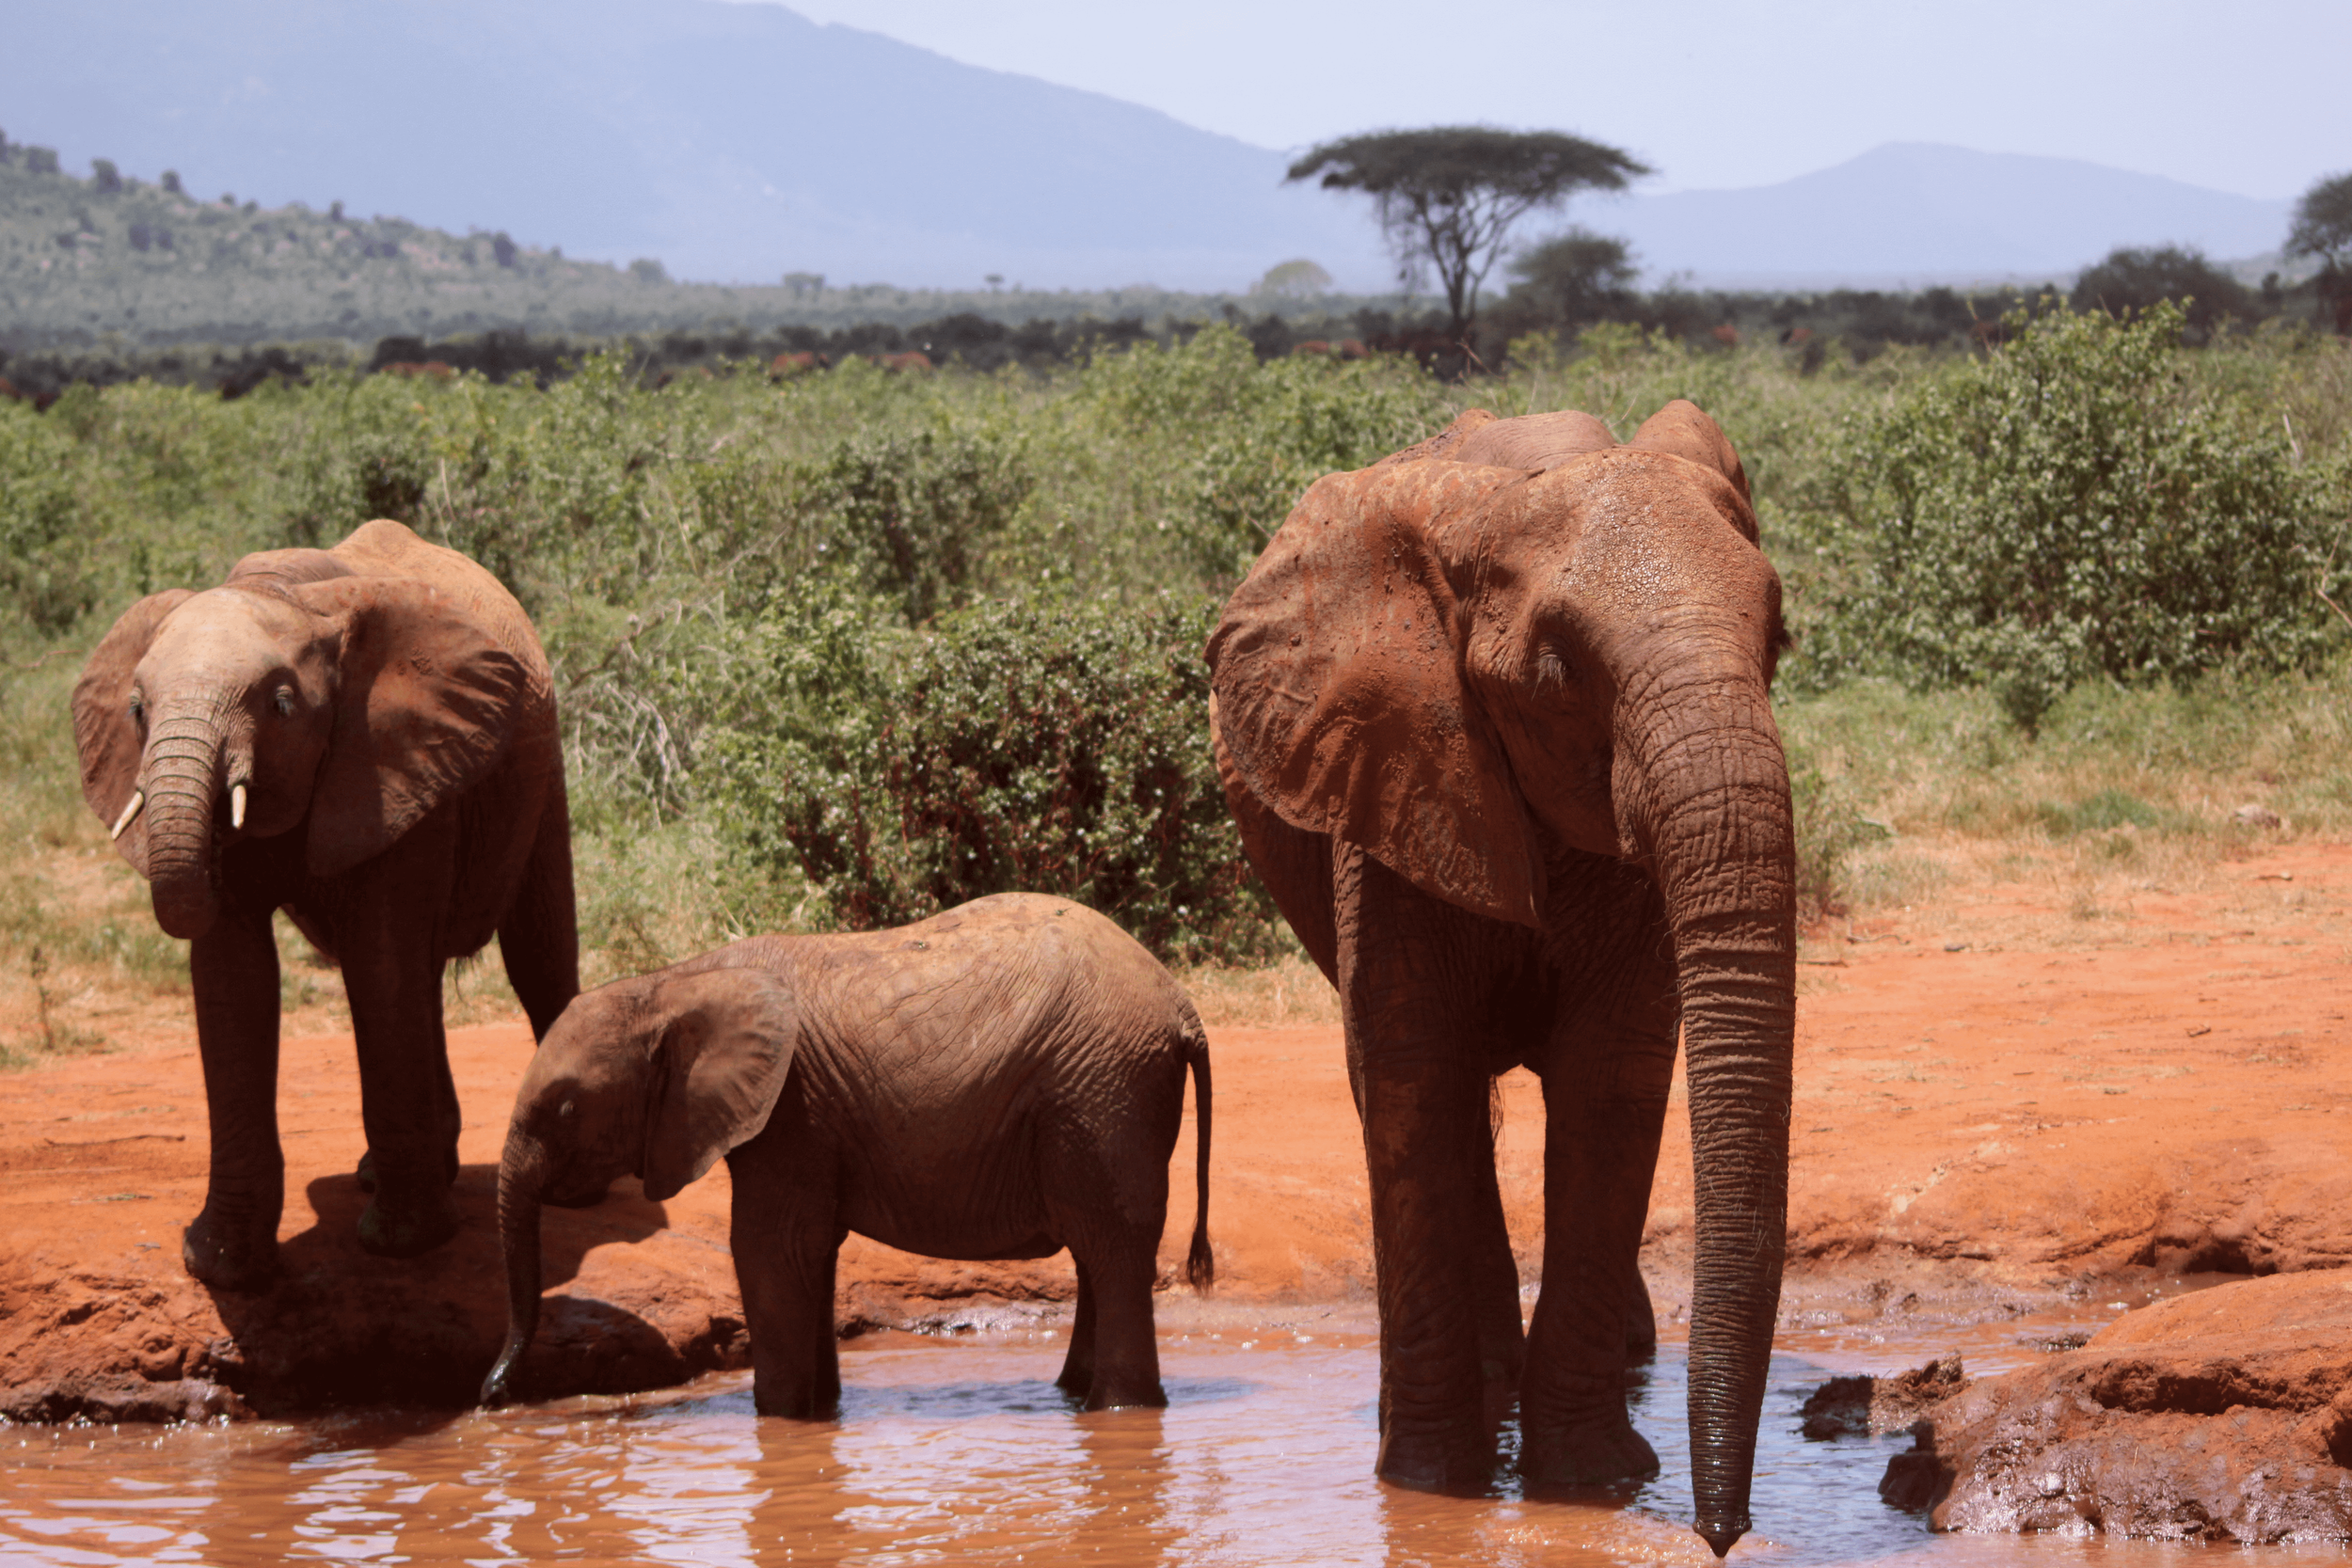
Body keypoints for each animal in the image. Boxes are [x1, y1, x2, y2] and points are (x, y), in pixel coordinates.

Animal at [70, 519, 578, 1292]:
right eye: (136, 710)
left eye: (280, 705)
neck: (281, 591)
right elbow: (234, 979)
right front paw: (222, 1266)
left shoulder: (394, 758)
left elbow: (378, 961)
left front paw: (402, 1245)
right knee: (427, 978)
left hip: (541, 767)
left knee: (537, 952)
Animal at [479, 893, 1214, 1417]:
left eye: (565, 1109)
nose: (490, 1396)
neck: (673, 985)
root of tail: (1184, 1008)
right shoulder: (805, 1118)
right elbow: (811, 1250)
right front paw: (821, 1411)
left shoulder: (789, 1107)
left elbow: (769, 1248)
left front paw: (779, 1420)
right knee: (1097, 1252)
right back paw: (1071, 1395)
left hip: (1103, 1089)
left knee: (1112, 1246)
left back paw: (1118, 1410)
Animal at [1204, 401, 1793, 1556]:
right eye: (1561, 672)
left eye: (1777, 639)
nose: (1721, 1534)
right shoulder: (1390, 767)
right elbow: (1414, 1076)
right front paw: (1431, 1482)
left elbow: (1612, 1082)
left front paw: (1594, 1482)